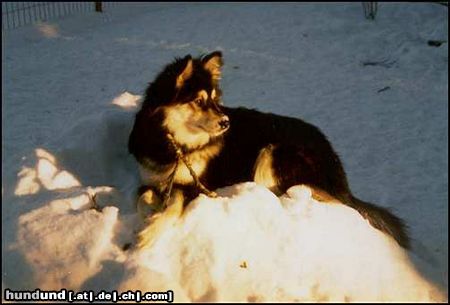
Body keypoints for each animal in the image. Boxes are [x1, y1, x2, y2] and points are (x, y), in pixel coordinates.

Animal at [128, 51, 410, 248]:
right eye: (198, 101)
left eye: (215, 100)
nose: (226, 122)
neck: (174, 145)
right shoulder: (150, 178)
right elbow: (140, 197)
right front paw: (148, 215)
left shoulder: (198, 184)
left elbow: (175, 200)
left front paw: (151, 231)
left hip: (273, 151)